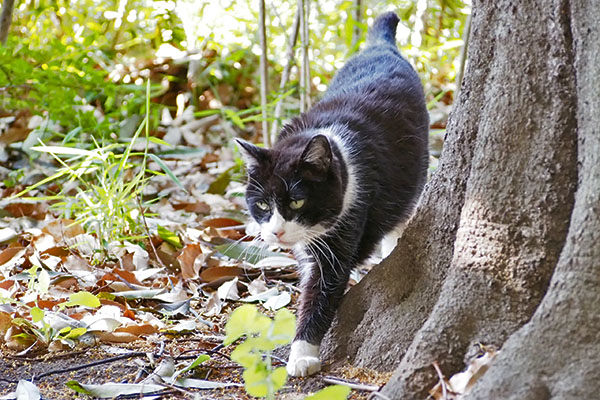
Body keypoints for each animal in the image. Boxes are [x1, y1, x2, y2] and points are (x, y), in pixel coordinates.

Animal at [237, 10, 428, 376]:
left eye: (297, 201)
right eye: (263, 205)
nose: (276, 232)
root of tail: (381, 46)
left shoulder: (351, 216)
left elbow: (324, 284)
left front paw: (302, 354)